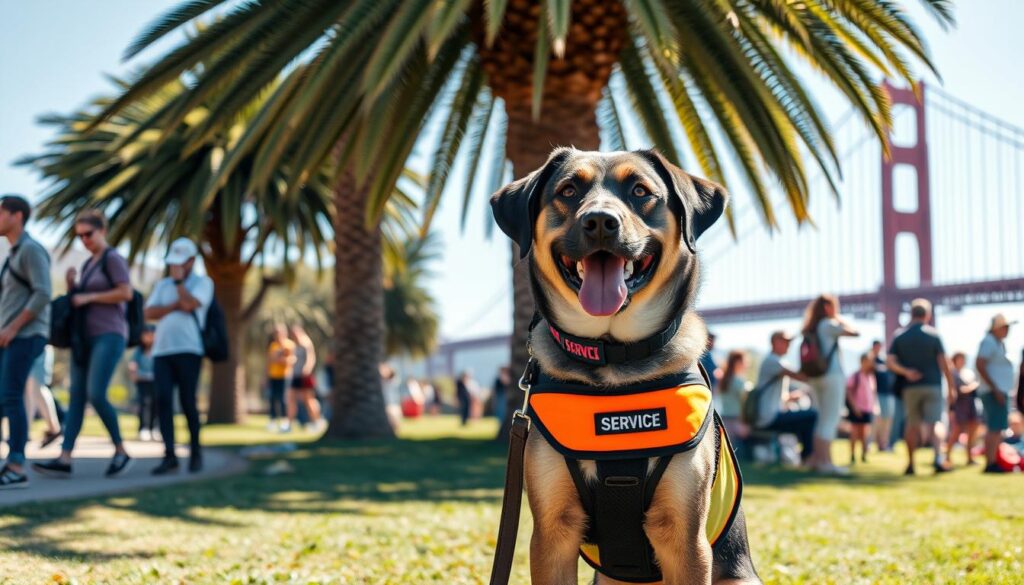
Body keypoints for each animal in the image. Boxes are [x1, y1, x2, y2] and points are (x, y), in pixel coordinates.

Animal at [487, 149, 761, 585]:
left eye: (640, 191)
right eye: (568, 190)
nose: (600, 221)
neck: (614, 357)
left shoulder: (686, 539)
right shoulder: (552, 534)